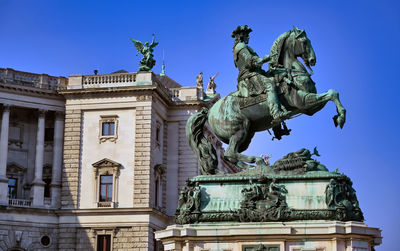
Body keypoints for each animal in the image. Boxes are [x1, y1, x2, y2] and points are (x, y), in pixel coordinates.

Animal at [188, 27, 346, 176]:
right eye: (304, 41)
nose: (313, 60)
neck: (290, 73)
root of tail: (209, 110)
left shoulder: (307, 106)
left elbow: (333, 93)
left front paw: (339, 116)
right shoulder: (304, 103)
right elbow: (332, 93)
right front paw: (341, 117)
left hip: (247, 135)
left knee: (232, 156)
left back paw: (252, 168)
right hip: (240, 129)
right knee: (230, 153)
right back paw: (257, 162)